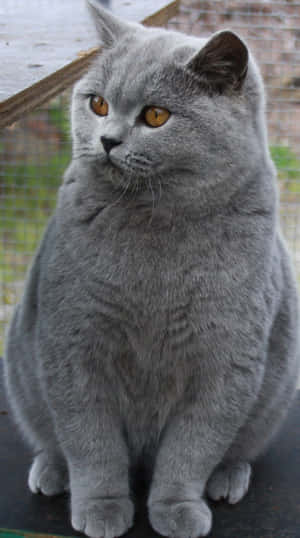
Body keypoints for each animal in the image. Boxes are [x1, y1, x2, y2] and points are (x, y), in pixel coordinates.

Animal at [2, 2, 300, 532]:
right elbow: (91, 441)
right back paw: (52, 471)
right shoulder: (72, 344)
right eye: (98, 104)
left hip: (273, 395)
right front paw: (101, 507)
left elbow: (191, 449)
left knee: (235, 449)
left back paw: (228, 478)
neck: (153, 226)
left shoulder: (227, 360)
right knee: (53, 439)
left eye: (156, 116)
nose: (107, 140)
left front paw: (177, 508)